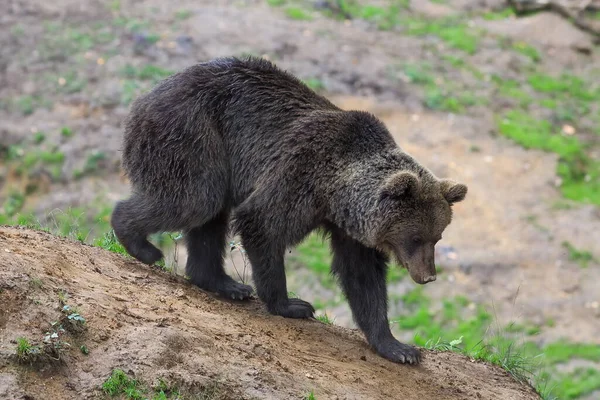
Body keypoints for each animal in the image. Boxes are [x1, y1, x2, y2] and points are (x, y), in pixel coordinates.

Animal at [112, 56, 468, 366]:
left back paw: (226, 284)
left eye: (437, 237)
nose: (428, 275)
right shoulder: (301, 172)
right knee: (195, 200)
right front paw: (292, 305)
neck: (335, 192)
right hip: (194, 133)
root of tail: (145, 97)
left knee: (210, 218)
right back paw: (141, 245)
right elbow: (263, 222)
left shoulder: (350, 228)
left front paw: (398, 347)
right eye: (416, 237)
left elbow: (363, 278)